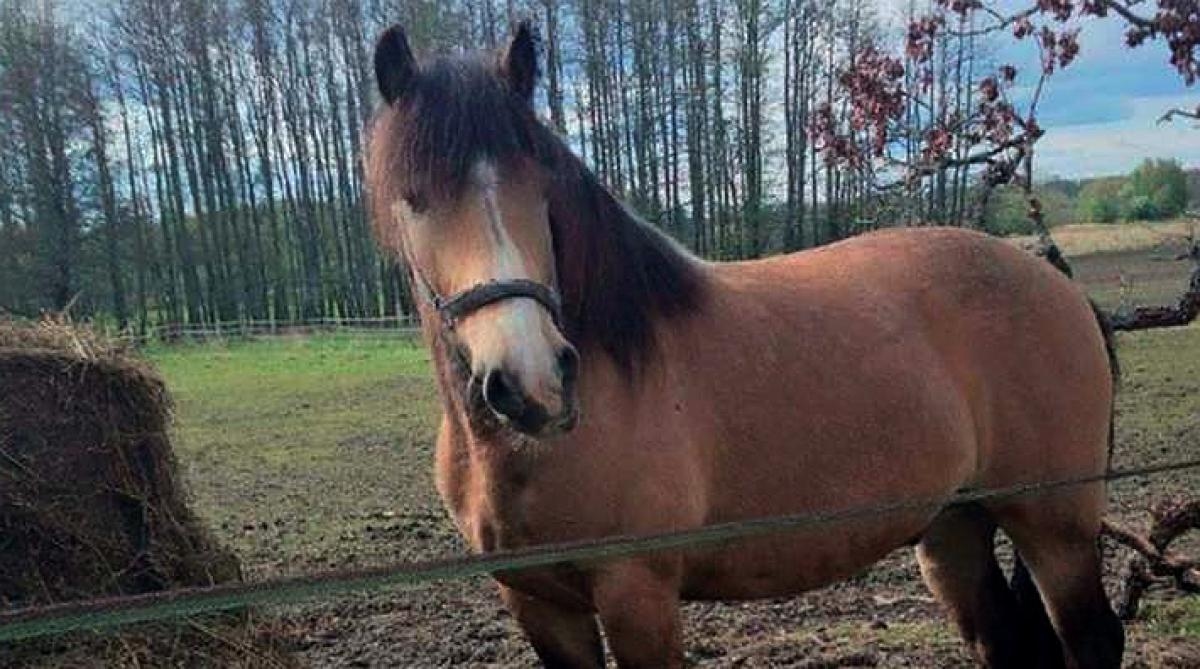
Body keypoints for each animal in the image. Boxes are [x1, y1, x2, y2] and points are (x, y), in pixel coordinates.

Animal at [364, 22, 1123, 669]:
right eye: (414, 197)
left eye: (537, 183)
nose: (534, 383)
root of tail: (1052, 281)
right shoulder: (538, 604)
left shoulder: (637, 592)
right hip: (955, 528)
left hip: (1054, 526)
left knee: (1092, 638)